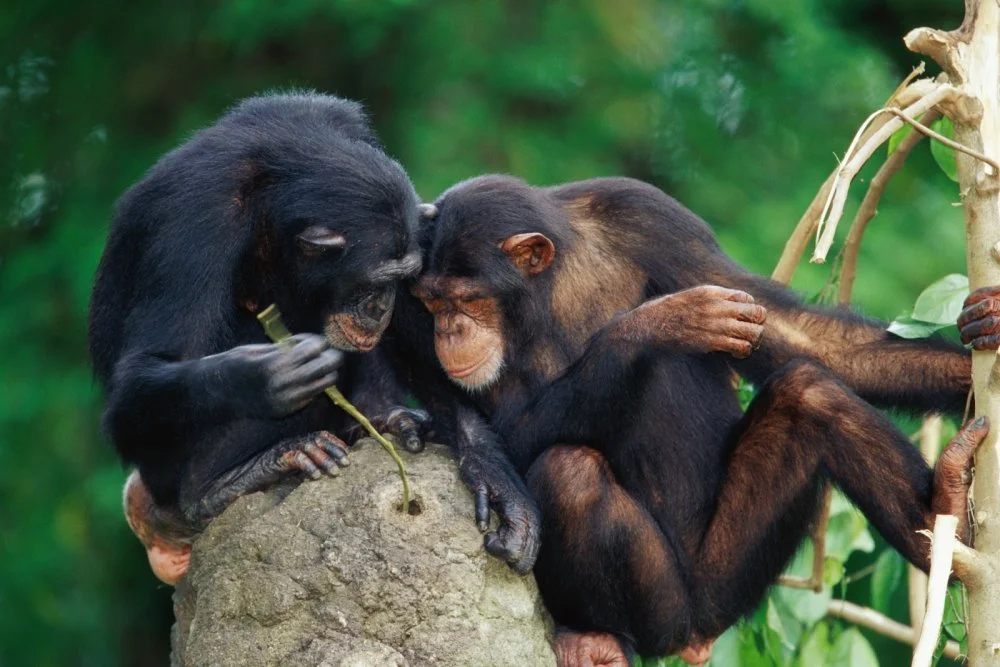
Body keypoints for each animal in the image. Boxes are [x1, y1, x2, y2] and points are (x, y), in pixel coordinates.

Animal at [94, 92, 434, 584]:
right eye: (373, 282)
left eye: (401, 280)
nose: (380, 308)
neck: (272, 200)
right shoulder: (194, 221)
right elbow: (143, 374)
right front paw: (268, 375)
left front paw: (385, 414)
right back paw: (224, 482)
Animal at [400, 175, 1000, 664]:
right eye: (431, 303)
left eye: (467, 299)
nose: (449, 330)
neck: (548, 284)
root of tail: (699, 634)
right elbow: (505, 438)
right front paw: (662, 323)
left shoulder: (652, 216)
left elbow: (802, 336)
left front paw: (986, 328)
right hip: (669, 608)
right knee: (570, 473)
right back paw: (595, 639)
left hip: (733, 575)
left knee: (811, 393)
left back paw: (945, 513)